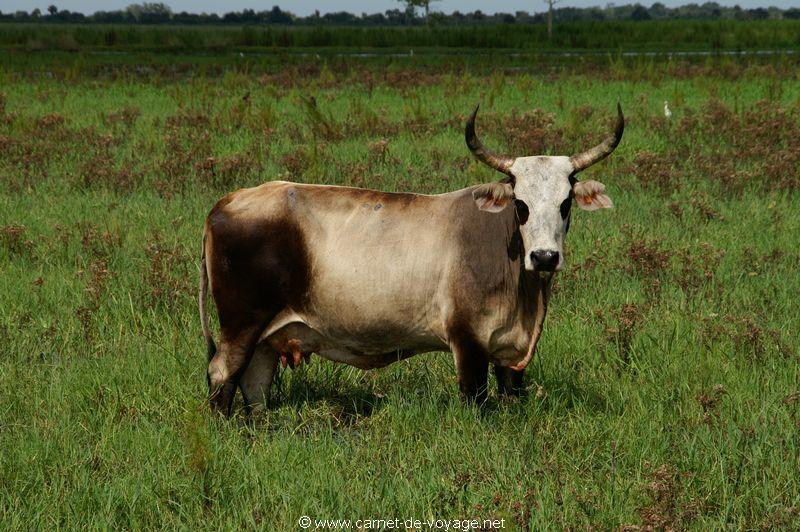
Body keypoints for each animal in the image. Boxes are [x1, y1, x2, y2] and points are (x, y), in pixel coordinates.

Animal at [200, 103, 624, 412]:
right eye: (520, 204)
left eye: (565, 203)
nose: (545, 257)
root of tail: (229, 201)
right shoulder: (467, 344)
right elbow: (476, 400)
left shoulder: (508, 356)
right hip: (242, 325)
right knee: (222, 373)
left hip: (266, 338)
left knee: (255, 385)